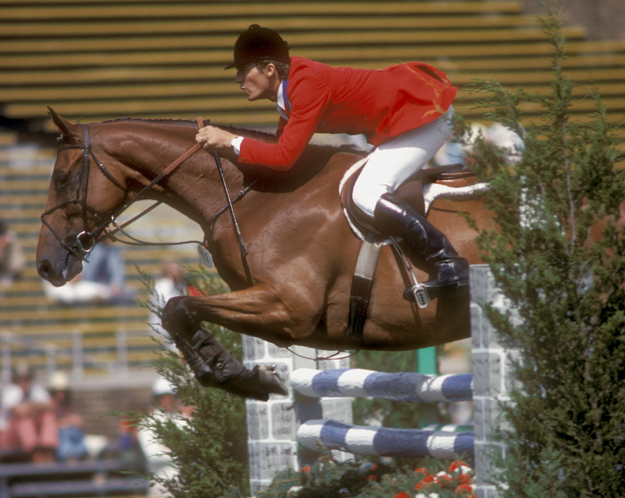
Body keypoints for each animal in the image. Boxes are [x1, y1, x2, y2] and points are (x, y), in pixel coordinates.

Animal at [37, 109, 492, 400]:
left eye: (62, 178)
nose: (45, 265)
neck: (257, 194)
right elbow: (179, 312)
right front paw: (229, 370)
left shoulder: (289, 307)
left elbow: (177, 307)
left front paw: (238, 376)